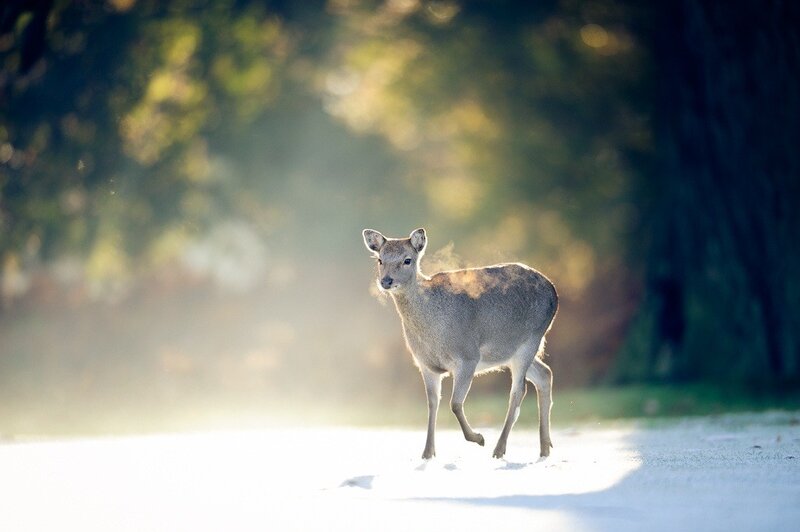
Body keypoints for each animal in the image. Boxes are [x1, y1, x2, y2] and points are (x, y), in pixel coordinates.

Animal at [362, 228, 558, 460]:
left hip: (531, 339)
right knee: (544, 374)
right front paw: (427, 453)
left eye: (407, 260)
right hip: (512, 353)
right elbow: (432, 404)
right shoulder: (425, 364)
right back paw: (545, 448)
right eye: (380, 259)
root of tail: (554, 292)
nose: (386, 281)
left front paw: (479, 438)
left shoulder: (468, 356)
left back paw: (499, 449)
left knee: (518, 391)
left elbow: (455, 404)